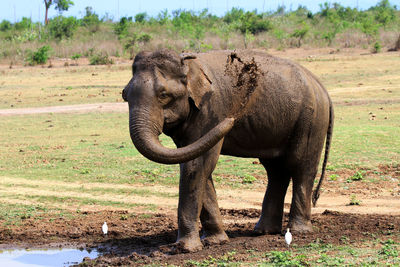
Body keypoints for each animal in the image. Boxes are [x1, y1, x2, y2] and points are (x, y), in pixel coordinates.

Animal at [122, 48, 334, 253]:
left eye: (163, 95)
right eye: (124, 95)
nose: (233, 118)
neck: (189, 66)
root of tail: (321, 86)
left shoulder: (211, 111)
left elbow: (197, 166)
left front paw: (183, 248)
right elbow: (198, 164)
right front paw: (216, 241)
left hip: (311, 119)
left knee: (301, 166)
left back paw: (299, 231)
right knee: (276, 170)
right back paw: (263, 231)